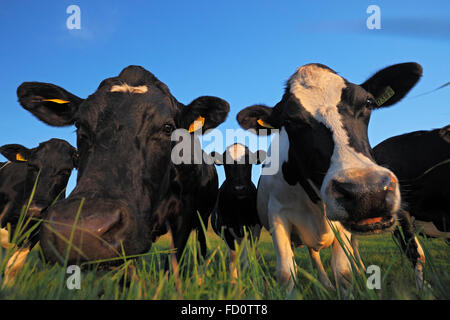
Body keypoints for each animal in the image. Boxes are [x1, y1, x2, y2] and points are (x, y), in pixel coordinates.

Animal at [209, 144, 266, 278]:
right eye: (226, 164)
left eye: (249, 162)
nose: (239, 188)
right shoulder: (226, 230)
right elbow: (233, 257)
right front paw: (234, 279)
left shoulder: (254, 228)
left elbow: (251, 253)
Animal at [237, 61, 424, 292]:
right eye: (289, 120)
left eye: (368, 103)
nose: (367, 192)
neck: (315, 201)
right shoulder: (277, 215)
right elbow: (286, 273)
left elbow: (343, 272)